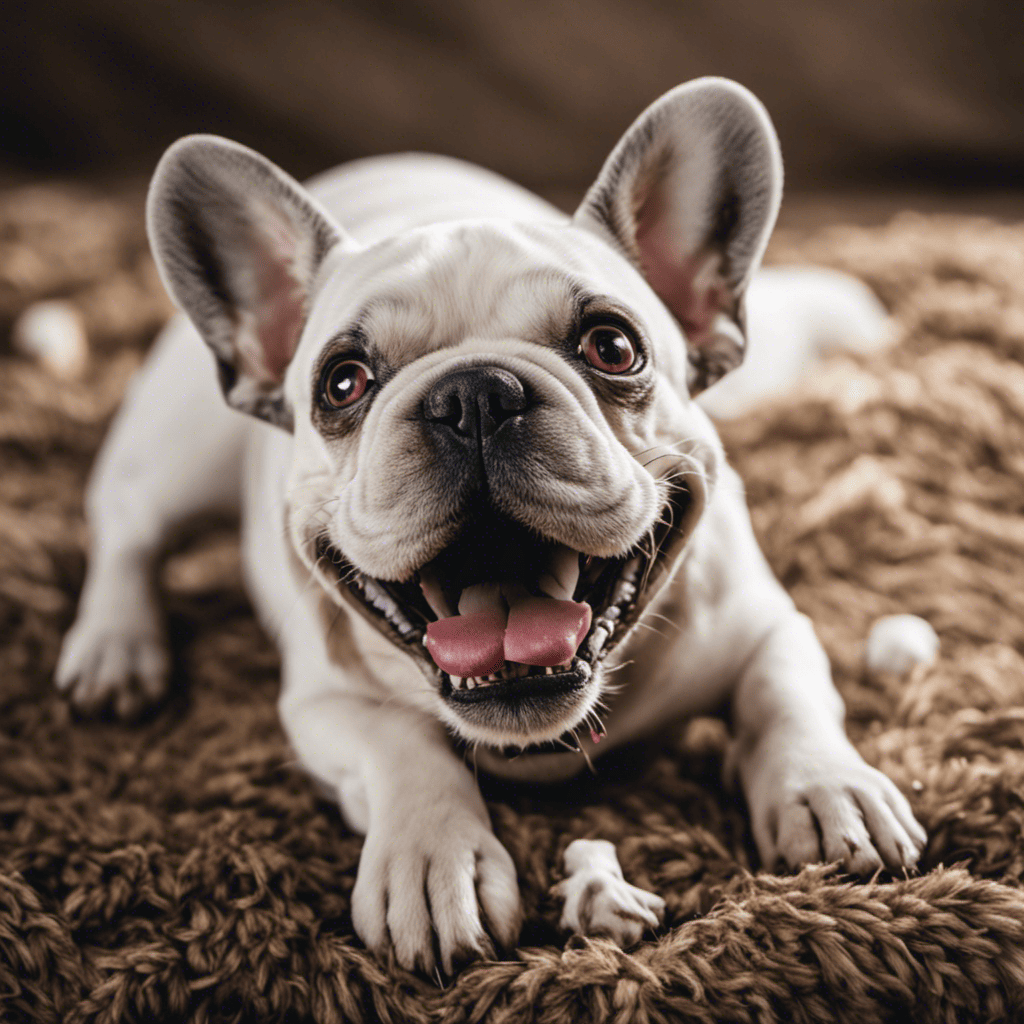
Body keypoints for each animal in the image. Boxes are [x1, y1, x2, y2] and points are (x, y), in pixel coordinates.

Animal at [56, 75, 929, 970]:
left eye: (613, 346)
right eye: (342, 382)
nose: (473, 393)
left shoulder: (765, 623)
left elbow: (786, 693)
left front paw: (828, 788)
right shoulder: (322, 702)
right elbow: (401, 745)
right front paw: (433, 859)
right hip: (179, 453)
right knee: (125, 528)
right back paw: (115, 648)